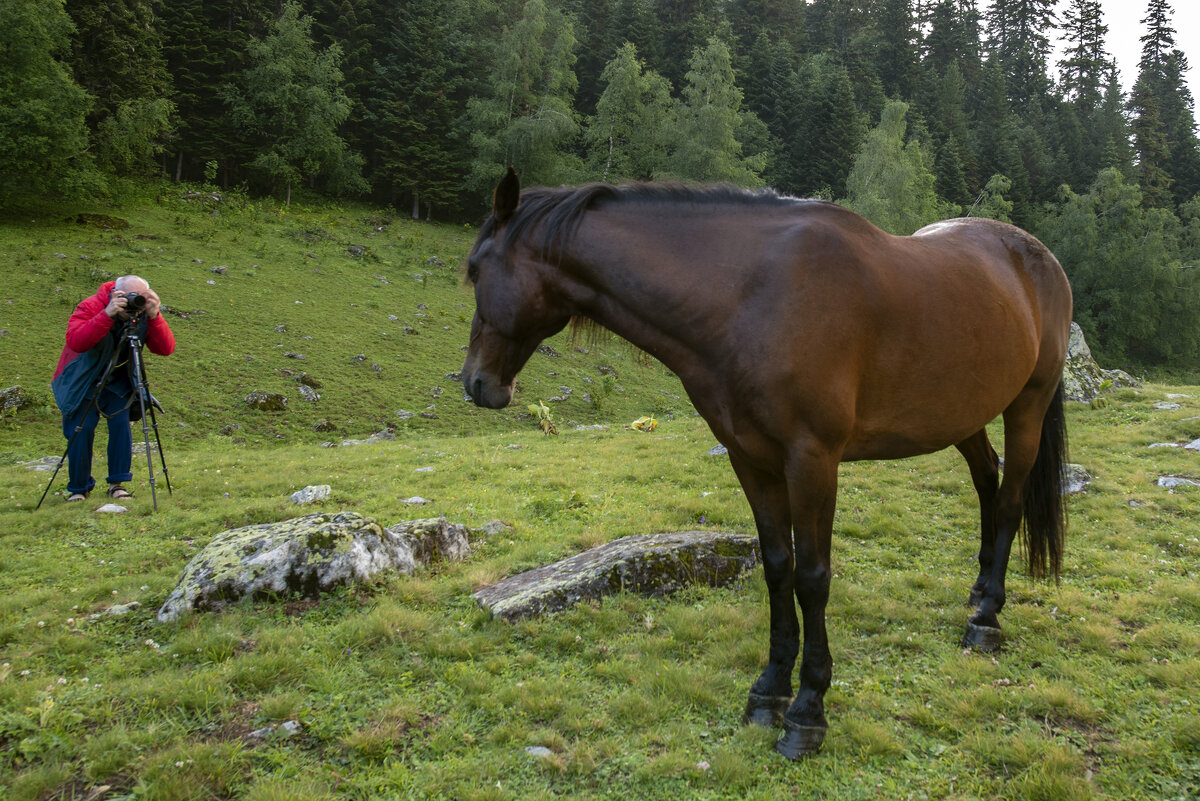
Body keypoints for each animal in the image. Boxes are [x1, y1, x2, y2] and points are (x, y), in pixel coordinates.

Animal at [458, 169, 1070, 757]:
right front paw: (770, 690)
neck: (749, 298)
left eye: (474, 269)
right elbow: (777, 569)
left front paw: (807, 711)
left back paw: (986, 617)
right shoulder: (751, 460)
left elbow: (813, 577)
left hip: (1027, 405)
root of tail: (1040, 257)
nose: (477, 383)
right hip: (963, 415)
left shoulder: (813, 461)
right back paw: (977, 589)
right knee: (986, 481)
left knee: (1009, 500)